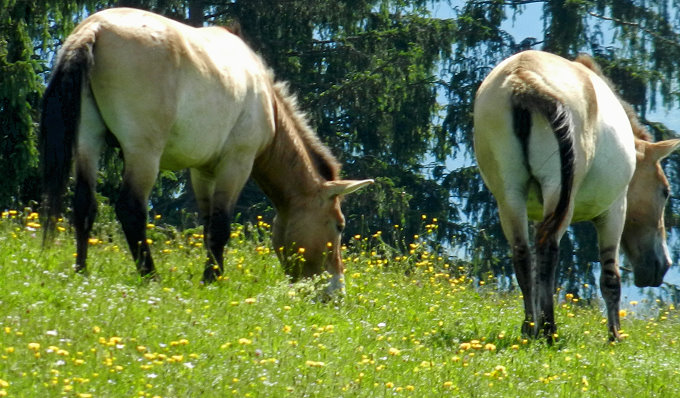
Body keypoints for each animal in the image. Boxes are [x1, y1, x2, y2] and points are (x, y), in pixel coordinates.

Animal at [39, 7, 372, 294]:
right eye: (339, 226)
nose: (336, 292)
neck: (268, 103)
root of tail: (95, 28)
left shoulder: (202, 171)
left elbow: (209, 224)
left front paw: (210, 273)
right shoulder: (236, 164)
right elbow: (221, 226)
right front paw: (213, 280)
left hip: (88, 142)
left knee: (84, 204)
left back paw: (82, 272)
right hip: (143, 153)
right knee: (130, 209)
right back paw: (151, 277)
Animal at [472, 49, 680, 340]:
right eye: (665, 191)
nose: (663, 264)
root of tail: (523, 78)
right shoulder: (614, 211)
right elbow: (610, 278)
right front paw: (615, 336)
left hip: (510, 196)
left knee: (523, 255)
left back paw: (530, 328)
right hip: (561, 194)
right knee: (548, 248)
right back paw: (549, 329)